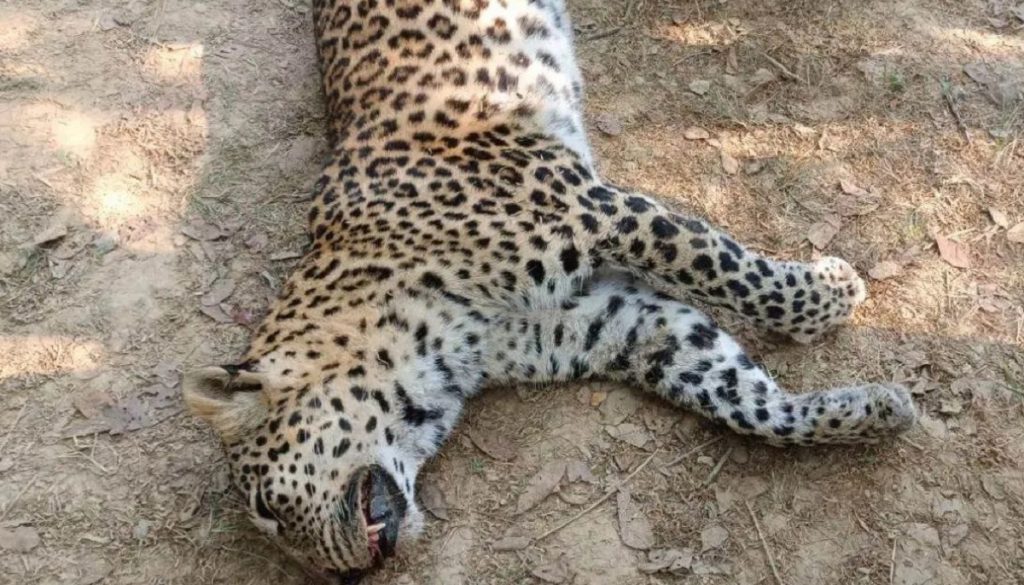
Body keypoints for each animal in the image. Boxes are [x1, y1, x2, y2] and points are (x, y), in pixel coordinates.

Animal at [182, 0, 918, 582]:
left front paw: (831, 293)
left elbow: (730, 267)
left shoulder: (603, 212)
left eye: (269, 508)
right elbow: (743, 398)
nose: (344, 579)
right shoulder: (619, 323)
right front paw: (872, 410)